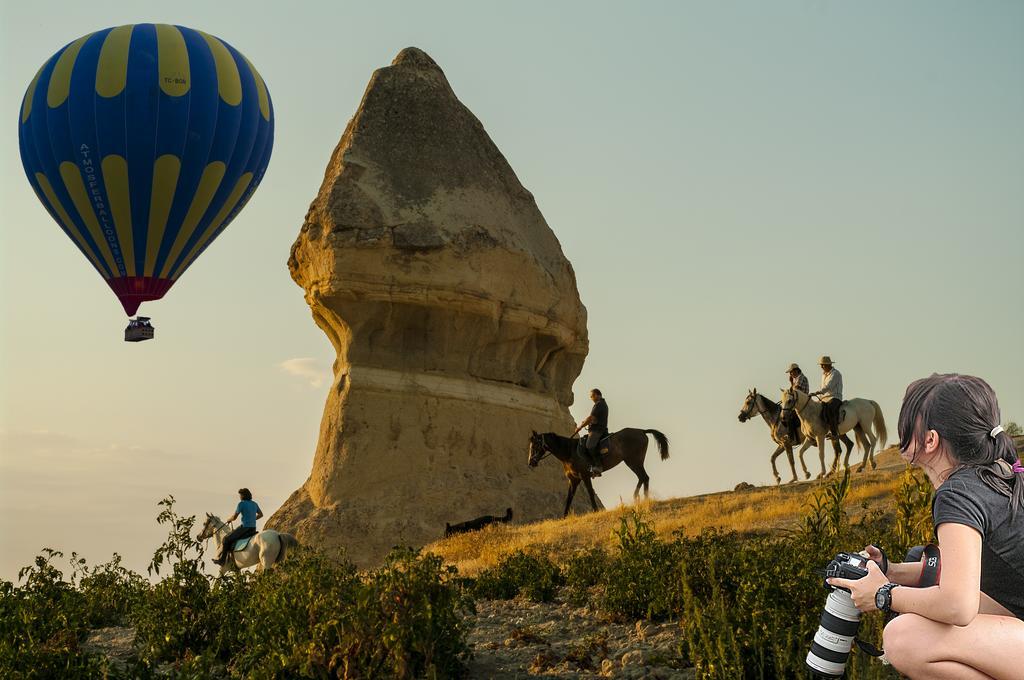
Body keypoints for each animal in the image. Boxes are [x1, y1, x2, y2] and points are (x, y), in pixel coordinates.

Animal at [528, 428, 671, 518]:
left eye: (535, 445)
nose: (531, 462)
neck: (569, 452)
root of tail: (641, 431)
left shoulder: (585, 476)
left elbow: (590, 493)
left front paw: (596, 511)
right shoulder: (574, 479)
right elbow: (569, 497)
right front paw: (564, 516)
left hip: (633, 461)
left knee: (644, 477)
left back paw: (643, 499)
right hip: (633, 462)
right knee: (643, 478)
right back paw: (639, 498)